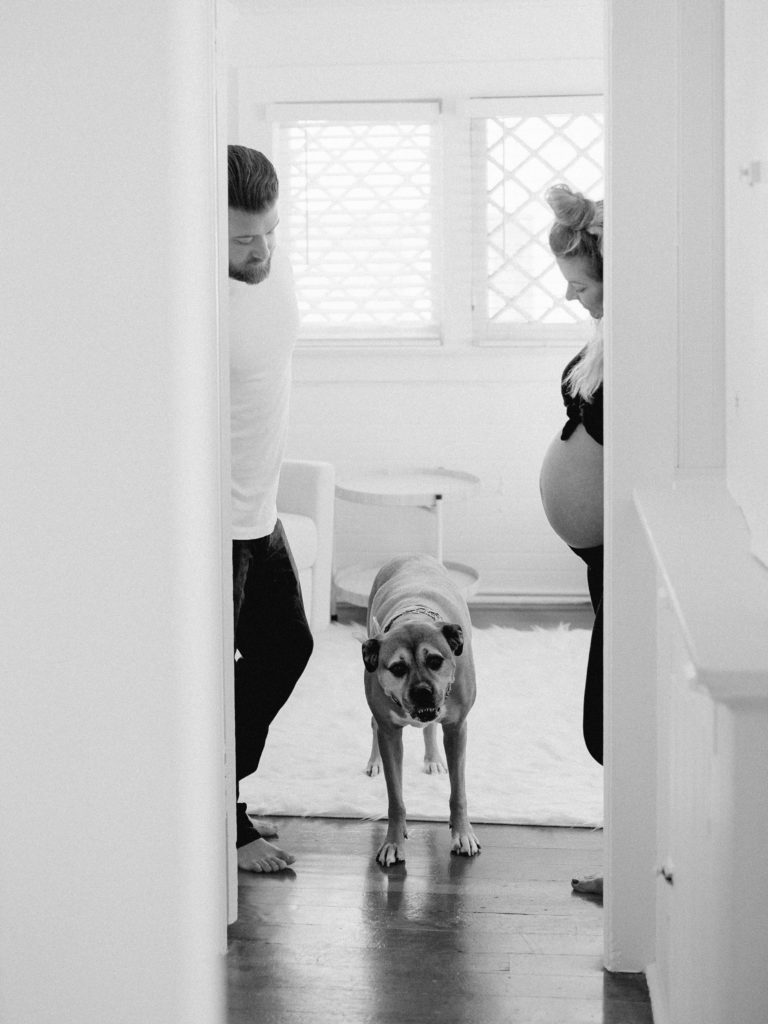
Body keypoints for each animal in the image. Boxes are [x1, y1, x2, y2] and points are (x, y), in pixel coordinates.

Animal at [362, 552, 481, 864]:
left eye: (436, 661)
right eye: (397, 668)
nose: (423, 692)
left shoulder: (457, 729)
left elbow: (458, 792)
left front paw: (462, 833)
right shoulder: (391, 733)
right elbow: (395, 799)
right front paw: (393, 841)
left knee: (429, 729)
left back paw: (433, 759)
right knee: (374, 726)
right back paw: (374, 762)